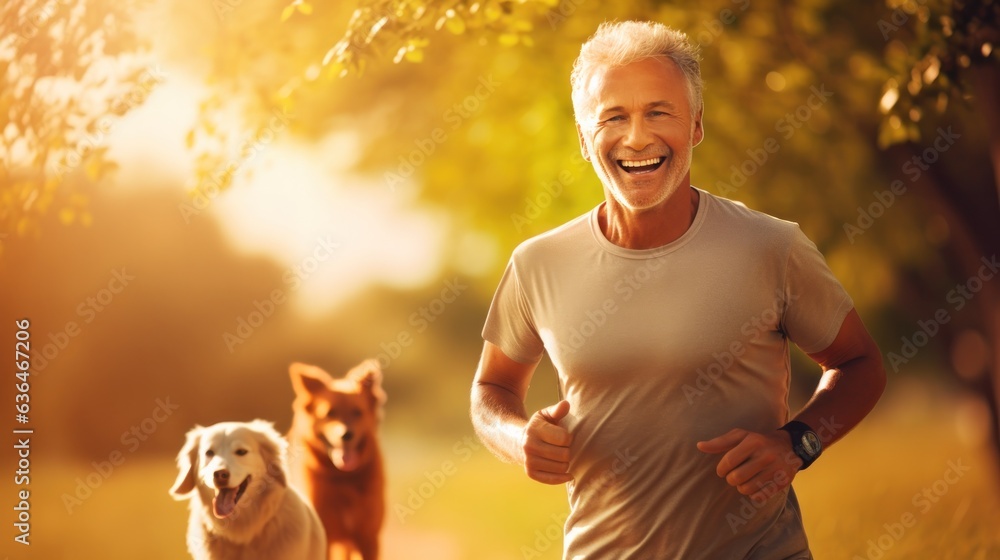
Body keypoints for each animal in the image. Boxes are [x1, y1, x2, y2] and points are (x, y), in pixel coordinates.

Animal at [290, 360, 386, 556]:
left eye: (357, 412)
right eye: (329, 413)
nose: (346, 435)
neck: (342, 478)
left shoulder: (368, 538)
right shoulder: (324, 537)